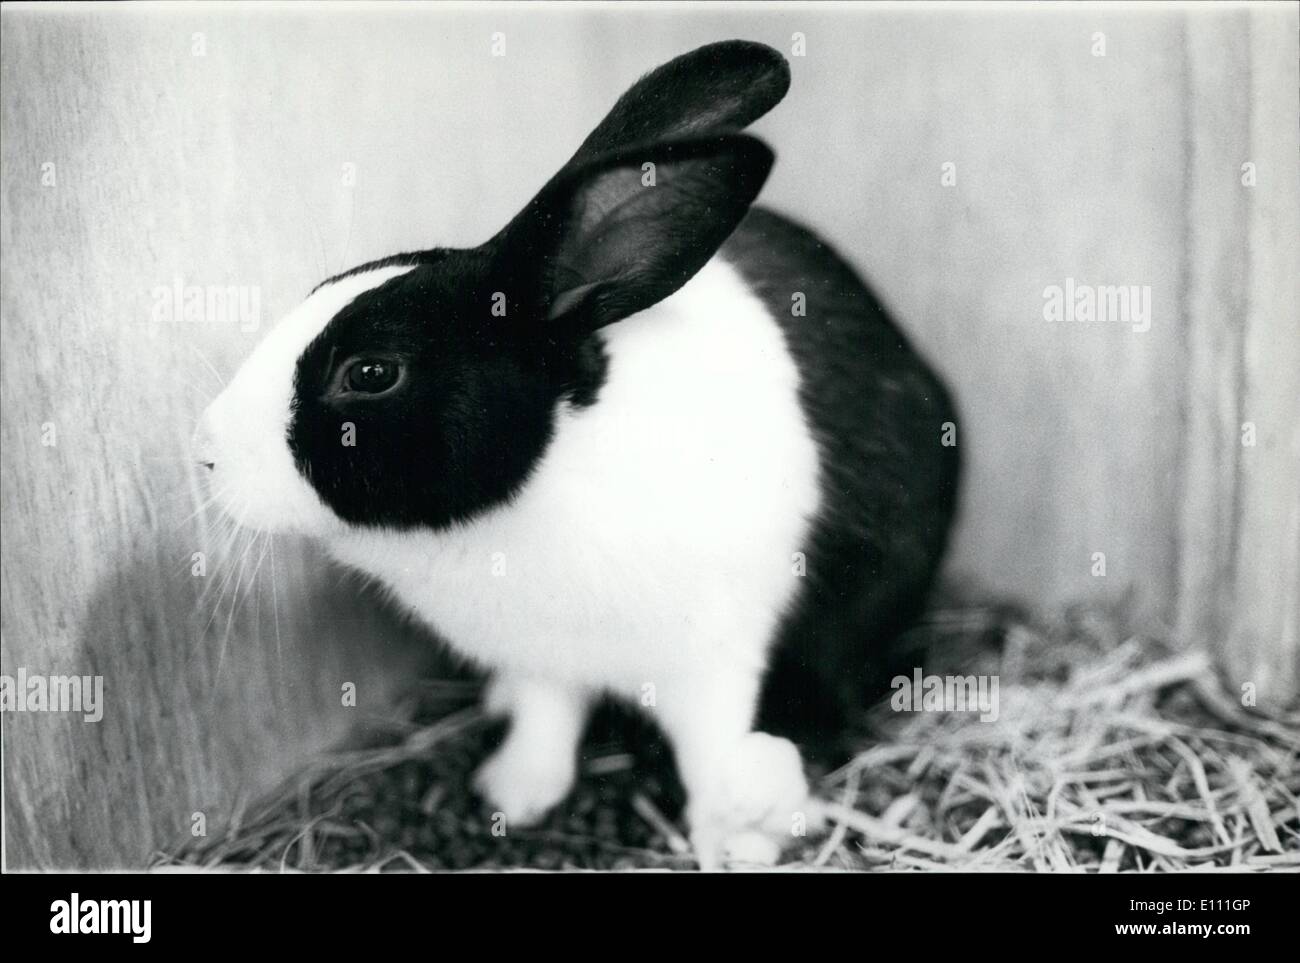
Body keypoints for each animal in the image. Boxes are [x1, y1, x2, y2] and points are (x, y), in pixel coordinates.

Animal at [194, 40, 960, 869]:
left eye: (370, 373)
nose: (204, 449)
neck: (546, 473)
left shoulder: (715, 658)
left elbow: (711, 748)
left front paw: (728, 838)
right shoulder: (543, 663)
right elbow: (546, 721)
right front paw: (513, 793)